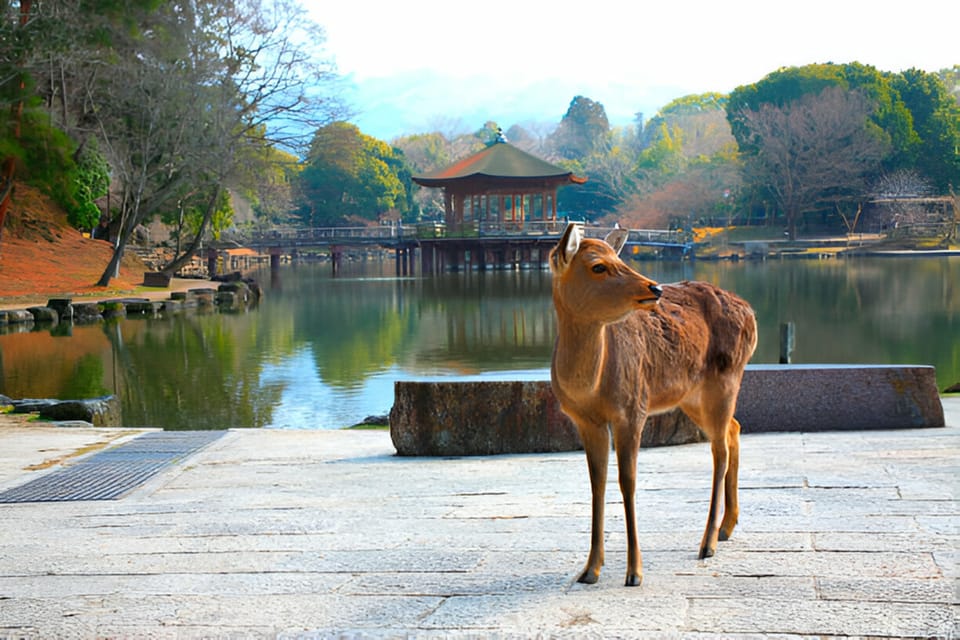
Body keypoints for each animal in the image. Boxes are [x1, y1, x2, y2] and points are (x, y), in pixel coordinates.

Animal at [548, 224, 756, 584]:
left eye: (619, 258)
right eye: (598, 266)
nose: (655, 287)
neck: (590, 387)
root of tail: (751, 313)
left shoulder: (633, 409)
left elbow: (627, 481)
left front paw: (634, 572)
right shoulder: (586, 420)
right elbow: (597, 482)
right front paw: (589, 570)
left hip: (726, 379)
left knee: (720, 450)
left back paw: (708, 543)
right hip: (693, 395)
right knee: (734, 428)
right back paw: (727, 527)